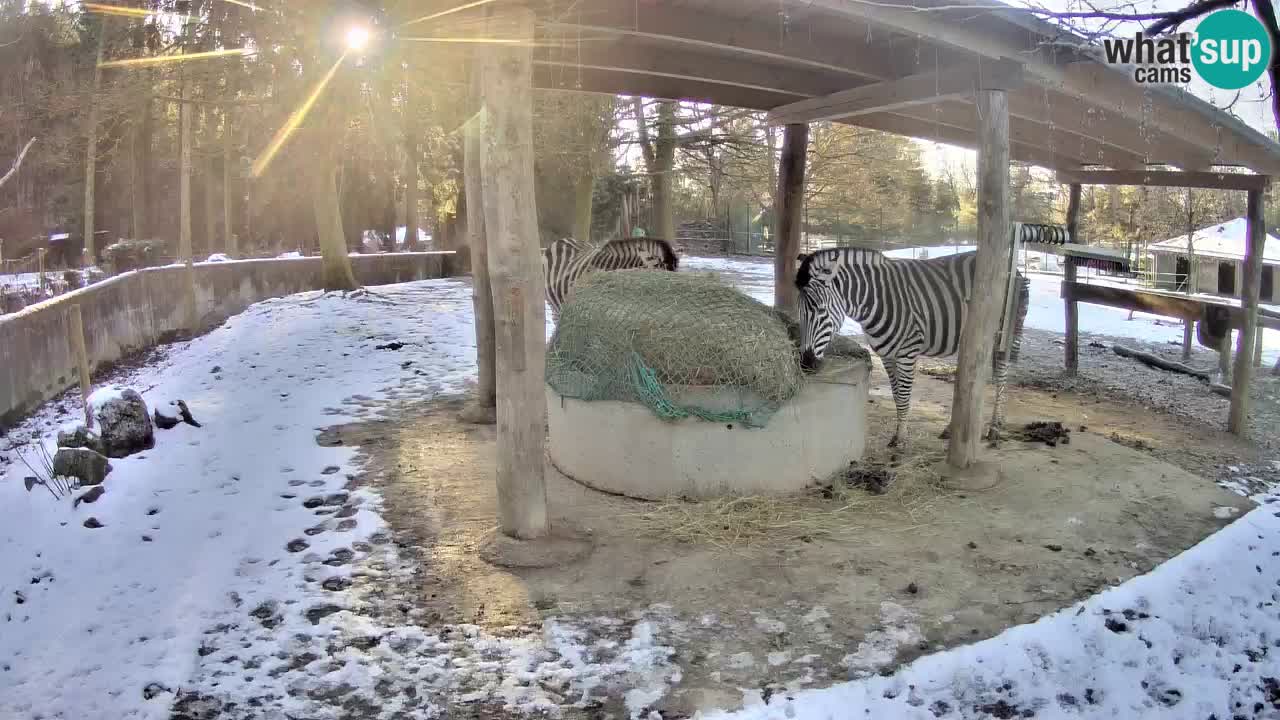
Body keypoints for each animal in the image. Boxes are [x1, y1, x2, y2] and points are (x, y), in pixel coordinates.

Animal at [798, 248, 1029, 448]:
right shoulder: (886, 355)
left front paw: (901, 439)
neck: (876, 300)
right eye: (800, 311)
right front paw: (899, 434)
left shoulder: (908, 352)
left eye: (820, 309)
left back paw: (994, 429)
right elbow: (896, 394)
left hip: (1004, 334)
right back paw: (954, 428)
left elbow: (904, 395)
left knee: (1001, 376)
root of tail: (1012, 266)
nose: (806, 363)